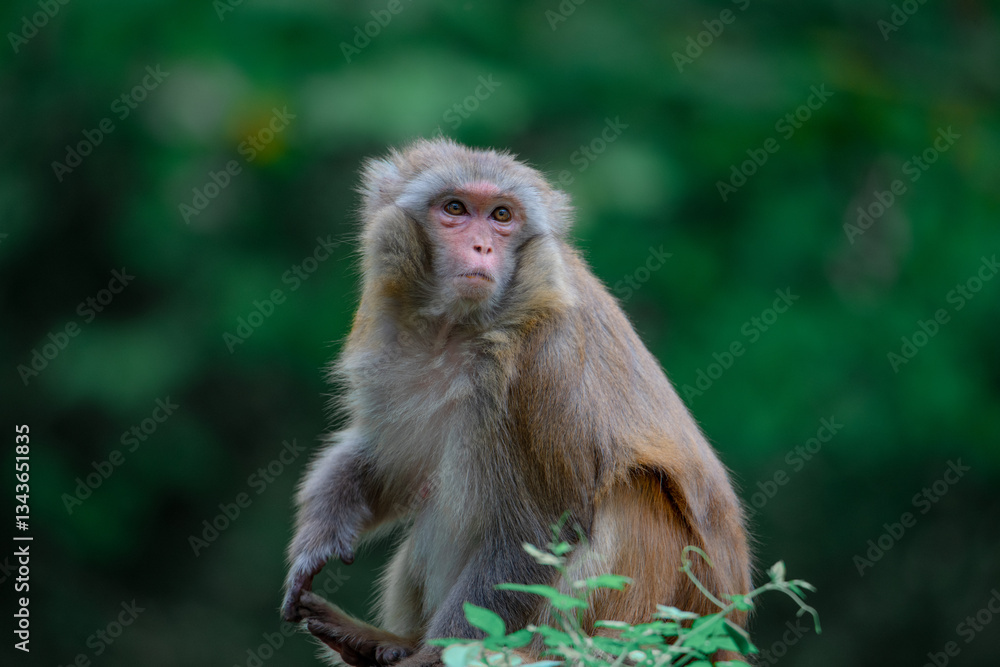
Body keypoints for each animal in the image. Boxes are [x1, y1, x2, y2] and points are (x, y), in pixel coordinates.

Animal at [282, 138, 750, 667]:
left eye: (501, 215)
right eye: (455, 209)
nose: (483, 247)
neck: (459, 330)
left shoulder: (543, 364)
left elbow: (536, 532)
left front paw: (430, 661)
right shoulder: (386, 339)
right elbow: (388, 461)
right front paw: (321, 532)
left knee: (633, 495)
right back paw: (380, 644)